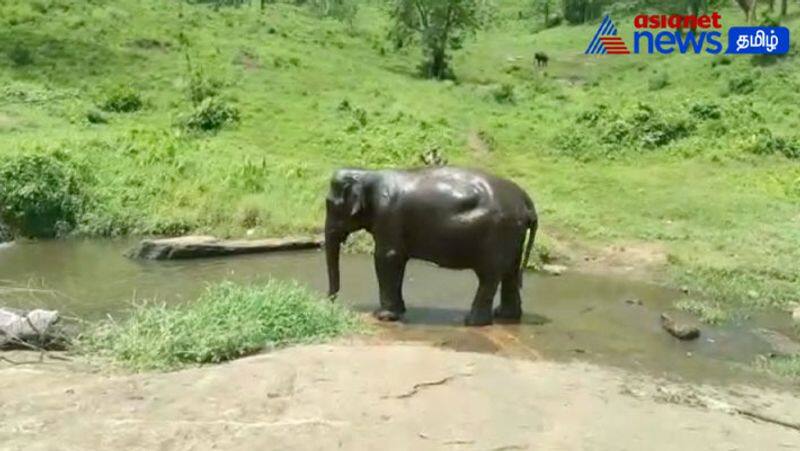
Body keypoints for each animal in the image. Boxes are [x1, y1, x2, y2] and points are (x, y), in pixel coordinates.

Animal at [324, 168, 536, 326]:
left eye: (329, 204)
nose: (330, 302)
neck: (366, 173)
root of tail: (525, 198)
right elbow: (398, 260)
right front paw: (399, 312)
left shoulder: (387, 216)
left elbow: (386, 257)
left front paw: (383, 316)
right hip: (513, 234)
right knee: (510, 272)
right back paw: (505, 316)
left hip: (499, 233)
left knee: (489, 275)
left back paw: (472, 322)